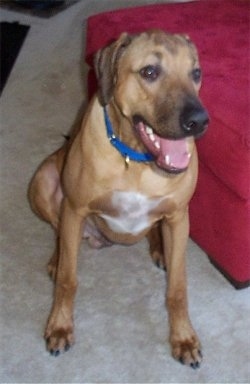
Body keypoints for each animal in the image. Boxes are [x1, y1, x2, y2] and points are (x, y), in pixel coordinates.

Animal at [28, 29, 209, 366]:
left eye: (196, 73)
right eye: (149, 72)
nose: (200, 121)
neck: (137, 160)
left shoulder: (179, 216)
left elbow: (177, 289)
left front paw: (183, 337)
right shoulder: (75, 208)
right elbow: (68, 280)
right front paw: (60, 326)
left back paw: (160, 249)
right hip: (43, 181)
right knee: (59, 231)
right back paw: (57, 258)